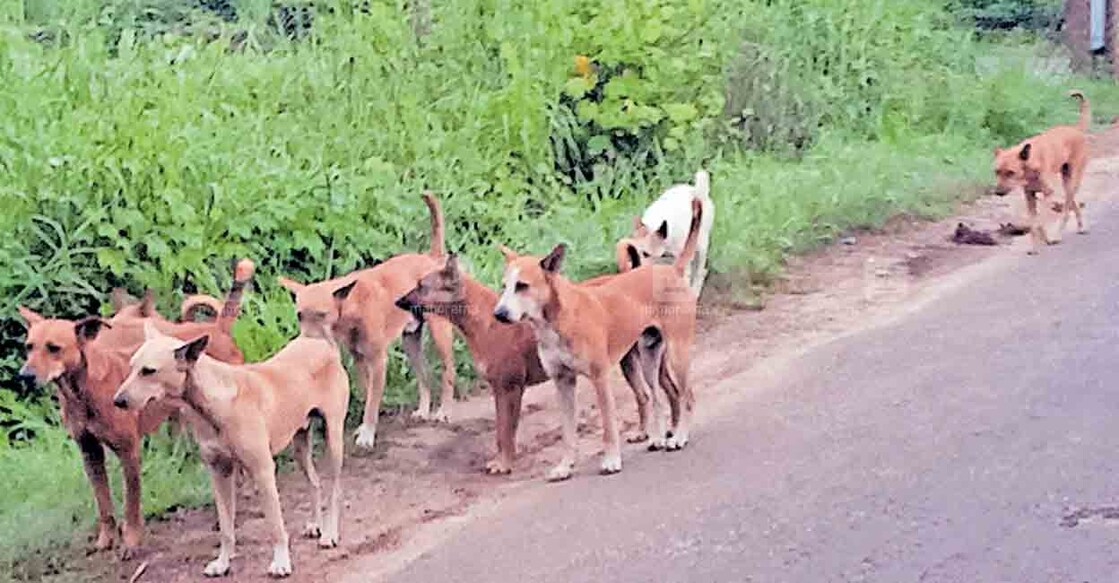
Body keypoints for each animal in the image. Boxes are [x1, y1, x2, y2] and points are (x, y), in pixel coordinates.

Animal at [16, 258, 254, 555]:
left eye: (54, 348)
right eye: (29, 347)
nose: (24, 375)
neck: (82, 392)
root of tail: (217, 328)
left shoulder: (128, 451)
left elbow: (131, 502)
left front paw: (130, 540)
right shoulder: (90, 453)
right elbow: (104, 503)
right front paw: (106, 539)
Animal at [113, 322, 346, 577]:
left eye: (149, 371)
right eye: (132, 367)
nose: (117, 401)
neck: (213, 401)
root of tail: (319, 342)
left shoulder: (263, 472)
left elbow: (276, 525)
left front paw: (281, 562)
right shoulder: (219, 472)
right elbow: (225, 528)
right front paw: (223, 563)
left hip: (334, 440)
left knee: (335, 491)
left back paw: (330, 534)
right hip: (300, 445)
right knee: (314, 482)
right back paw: (316, 524)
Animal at [993, 89, 1087, 252]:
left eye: (1011, 172)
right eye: (996, 172)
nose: (998, 192)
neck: (1030, 166)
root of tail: (1075, 129)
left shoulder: (1048, 194)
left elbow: (1040, 221)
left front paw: (1047, 239)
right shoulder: (1029, 196)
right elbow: (1034, 224)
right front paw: (1036, 246)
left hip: (1072, 181)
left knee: (1066, 209)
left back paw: (1058, 235)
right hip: (1066, 181)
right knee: (1073, 203)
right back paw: (1078, 228)